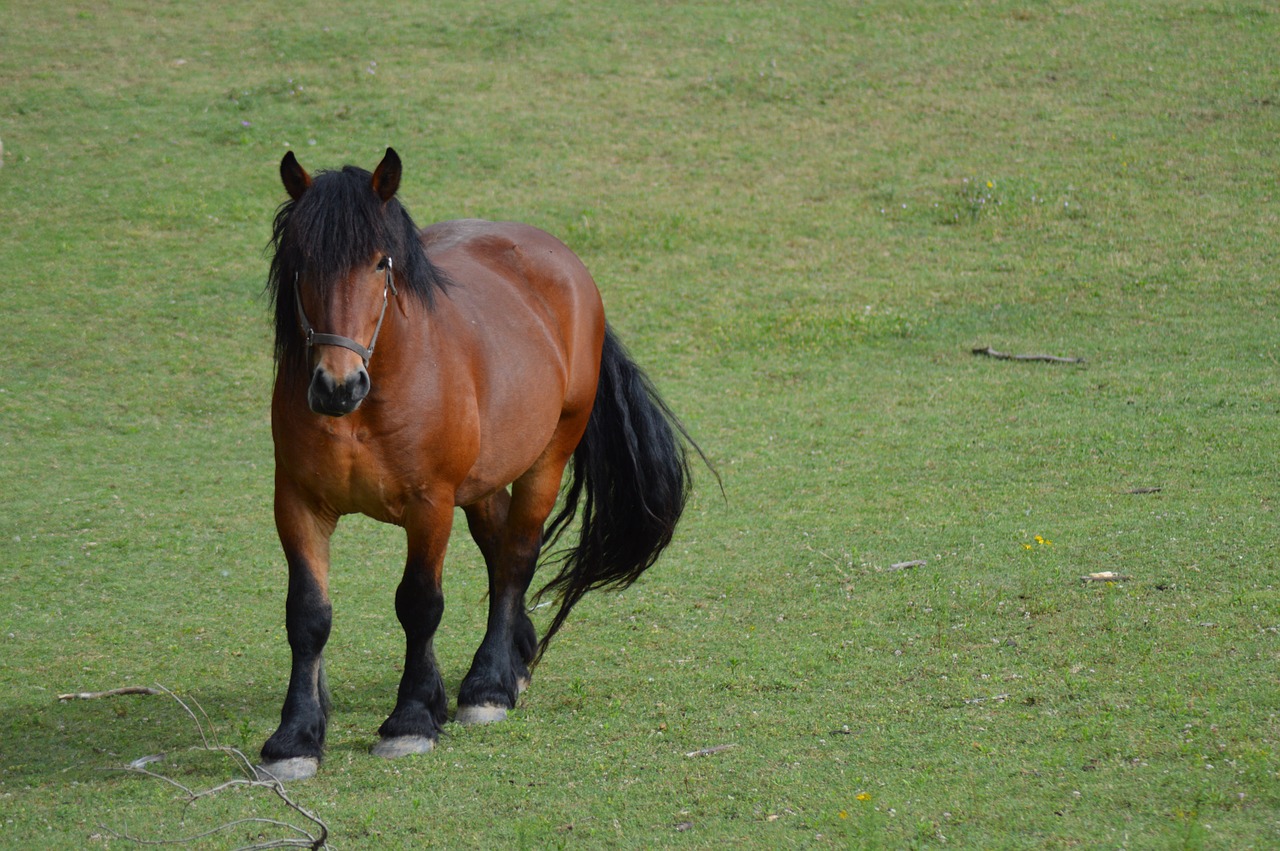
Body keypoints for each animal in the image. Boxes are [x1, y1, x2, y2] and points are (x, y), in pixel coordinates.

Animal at [256, 147, 706, 778]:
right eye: (301, 261)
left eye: (380, 262)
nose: (336, 386)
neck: (366, 409)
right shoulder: (298, 503)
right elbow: (307, 616)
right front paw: (296, 736)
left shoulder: (430, 504)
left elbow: (419, 604)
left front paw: (411, 720)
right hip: (485, 481)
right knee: (498, 553)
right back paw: (510, 661)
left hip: (547, 456)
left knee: (516, 556)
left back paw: (488, 686)